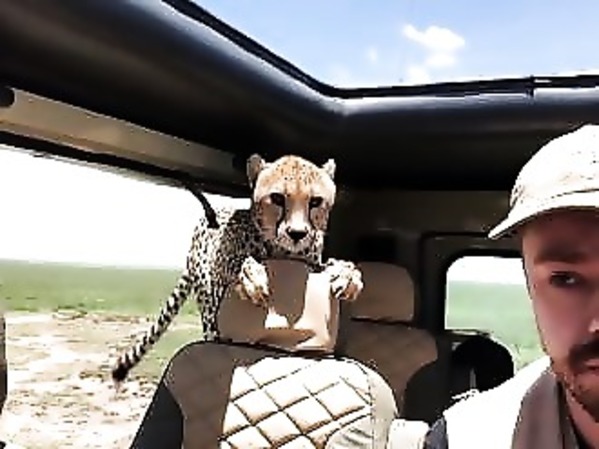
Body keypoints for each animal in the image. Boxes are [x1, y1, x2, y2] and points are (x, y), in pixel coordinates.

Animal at [109, 153, 363, 389]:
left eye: (316, 201)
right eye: (277, 198)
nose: (297, 233)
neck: (283, 252)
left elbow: (337, 267)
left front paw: (348, 275)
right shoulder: (221, 270)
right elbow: (237, 262)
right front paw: (251, 276)